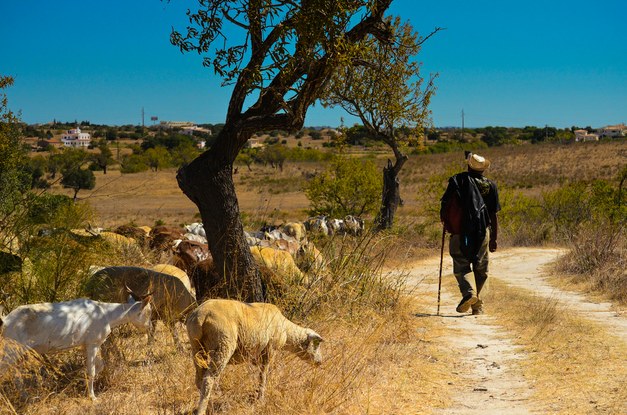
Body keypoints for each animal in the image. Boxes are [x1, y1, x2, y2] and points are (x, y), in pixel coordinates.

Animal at [0, 294, 152, 402]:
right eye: (149, 312)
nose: (149, 327)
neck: (105, 313)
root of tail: (5, 320)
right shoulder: (93, 344)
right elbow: (92, 371)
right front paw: (92, 397)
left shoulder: (85, 345)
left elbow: (99, 365)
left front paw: (79, 379)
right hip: (11, 350)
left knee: (17, 374)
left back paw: (26, 397)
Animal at [186, 300, 324, 414]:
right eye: (316, 344)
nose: (320, 362)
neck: (286, 330)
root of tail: (200, 316)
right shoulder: (270, 350)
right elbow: (263, 374)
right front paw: (260, 398)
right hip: (223, 345)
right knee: (209, 379)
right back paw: (210, 407)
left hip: (197, 348)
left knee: (199, 379)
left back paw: (210, 404)